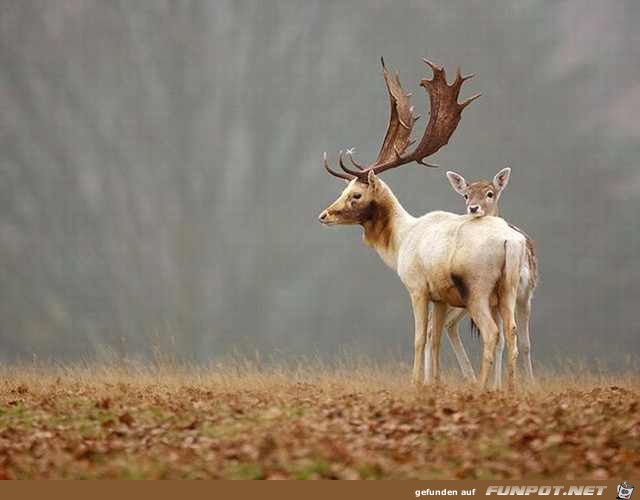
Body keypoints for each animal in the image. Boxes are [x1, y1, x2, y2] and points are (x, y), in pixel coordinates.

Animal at [318, 58, 528, 390]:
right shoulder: (440, 296)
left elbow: (419, 338)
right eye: (344, 190)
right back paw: (509, 389)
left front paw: (416, 382)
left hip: (478, 288)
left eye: (355, 194)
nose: (324, 215)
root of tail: (512, 241)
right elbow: (434, 339)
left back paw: (481, 388)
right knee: (512, 332)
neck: (401, 241)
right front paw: (434, 383)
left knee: (492, 333)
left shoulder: (417, 287)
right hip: (508, 289)